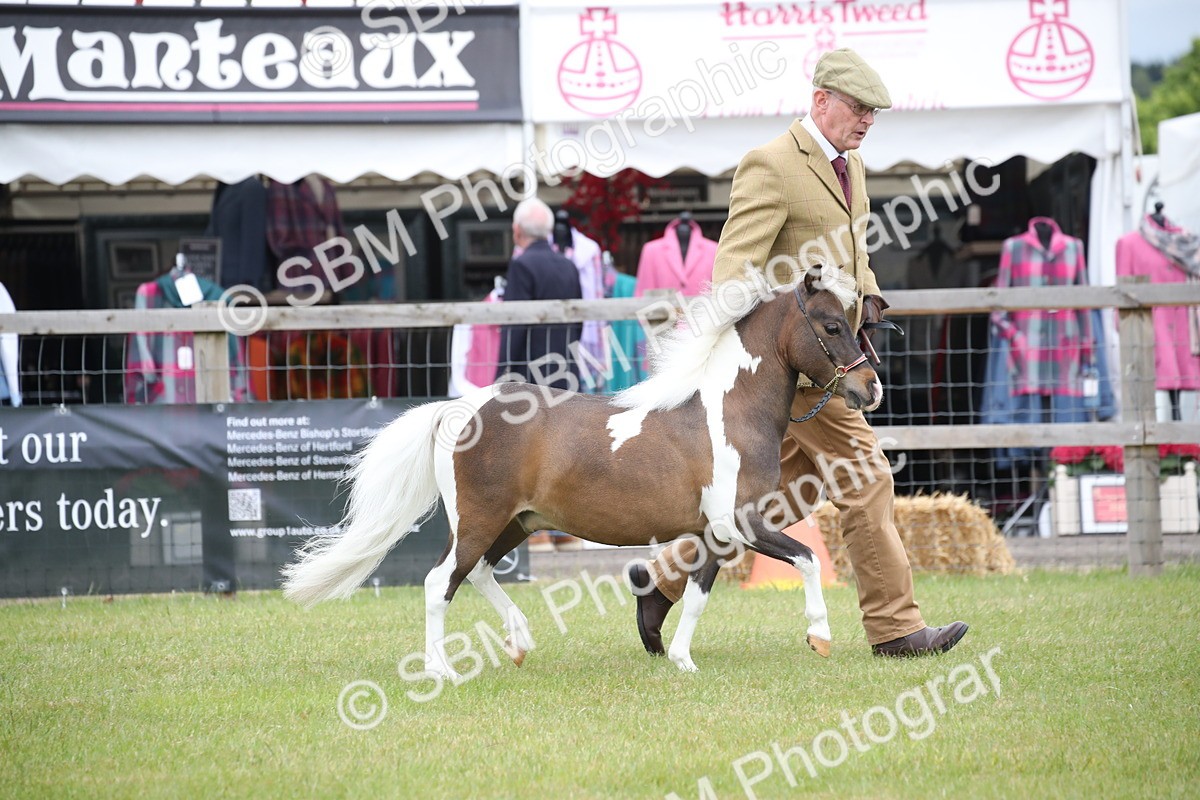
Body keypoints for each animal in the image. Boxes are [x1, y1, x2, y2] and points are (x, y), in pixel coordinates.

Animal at [282, 265, 882, 674]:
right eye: (832, 325)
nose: (869, 388)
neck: (728, 412)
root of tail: (459, 408)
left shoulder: (717, 533)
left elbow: (697, 595)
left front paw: (681, 661)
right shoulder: (743, 522)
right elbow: (807, 558)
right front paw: (820, 635)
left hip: (514, 523)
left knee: (477, 574)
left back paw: (519, 643)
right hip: (479, 521)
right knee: (439, 582)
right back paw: (441, 668)